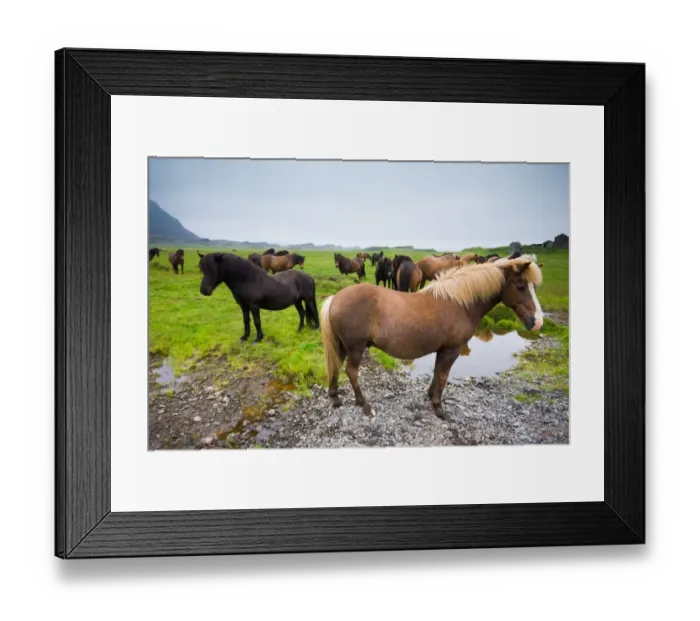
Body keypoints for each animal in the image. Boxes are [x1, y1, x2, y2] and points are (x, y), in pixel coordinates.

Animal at [320, 256, 544, 418]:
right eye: (521, 286)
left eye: (533, 287)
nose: (537, 322)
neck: (460, 303)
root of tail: (336, 298)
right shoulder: (452, 350)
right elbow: (443, 377)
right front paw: (438, 407)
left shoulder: (442, 349)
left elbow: (436, 372)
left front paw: (429, 396)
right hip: (356, 348)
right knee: (351, 372)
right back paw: (364, 405)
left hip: (343, 346)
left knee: (336, 365)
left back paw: (335, 398)